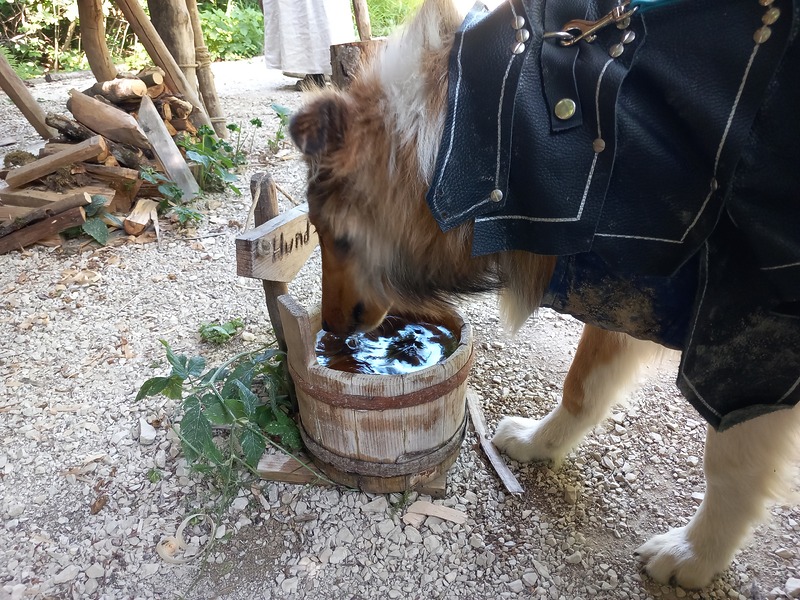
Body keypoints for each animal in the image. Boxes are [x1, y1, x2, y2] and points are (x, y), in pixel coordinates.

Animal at [290, 0, 800, 588]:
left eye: (335, 235)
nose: (328, 331)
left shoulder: (749, 329)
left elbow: (731, 461)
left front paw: (696, 554)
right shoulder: (628, 281)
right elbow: (581, 388)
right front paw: (539, 444)